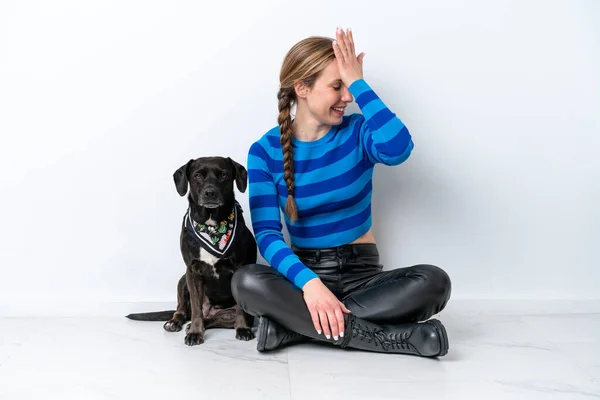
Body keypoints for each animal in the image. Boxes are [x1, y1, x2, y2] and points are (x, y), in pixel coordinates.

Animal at [125, 158, 256, 346]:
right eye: (197, 176)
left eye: (224, 175)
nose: (210, 193)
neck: (211, 225)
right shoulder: (192, 270)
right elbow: (195, 309)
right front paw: (195, 333)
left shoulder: (239, 268)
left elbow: (240, 309)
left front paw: (243, 329)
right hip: (183, 280)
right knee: (184, 310)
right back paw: (175, 322)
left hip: (224, 313)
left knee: (213, 319)